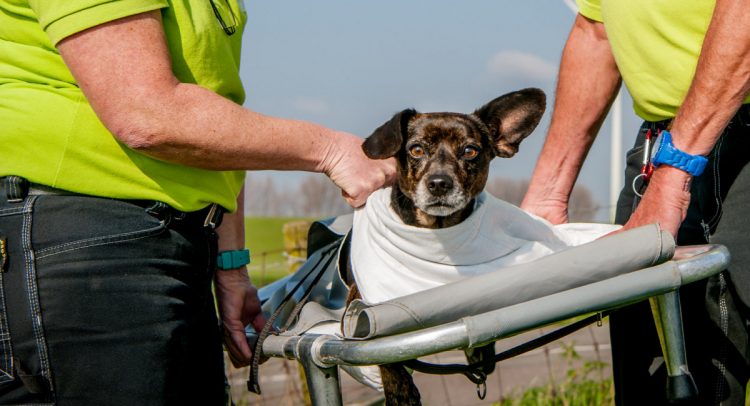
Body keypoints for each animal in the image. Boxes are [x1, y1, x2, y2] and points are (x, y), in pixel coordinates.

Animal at [346, 89, 548, 406]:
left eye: (470, 151)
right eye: (416, 149)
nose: (440, 183)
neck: (437, 231)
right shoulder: (359, 306)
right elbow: (382, 348)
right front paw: (401, 391)